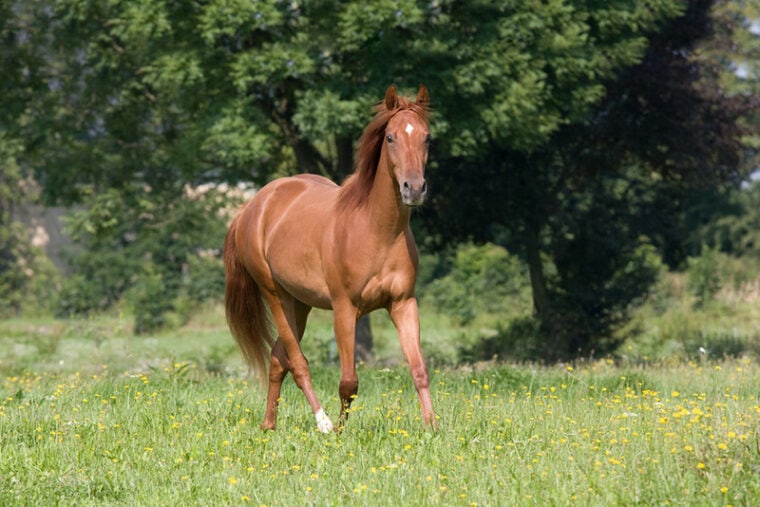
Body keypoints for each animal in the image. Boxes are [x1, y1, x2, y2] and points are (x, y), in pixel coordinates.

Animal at [223, 83, 436, 432]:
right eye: (390, 137)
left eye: (426, 137)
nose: (414, 189)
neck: (376, 231)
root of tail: (253, 206)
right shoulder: (344, 310)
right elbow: (349, 381)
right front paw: (340, 430)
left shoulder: (403, 304)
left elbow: (419, 370)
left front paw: (432, 427)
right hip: (276, 296)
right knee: (297, 362)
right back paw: (321, 422)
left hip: (300, 304)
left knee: (277, 360)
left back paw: (269, 425)